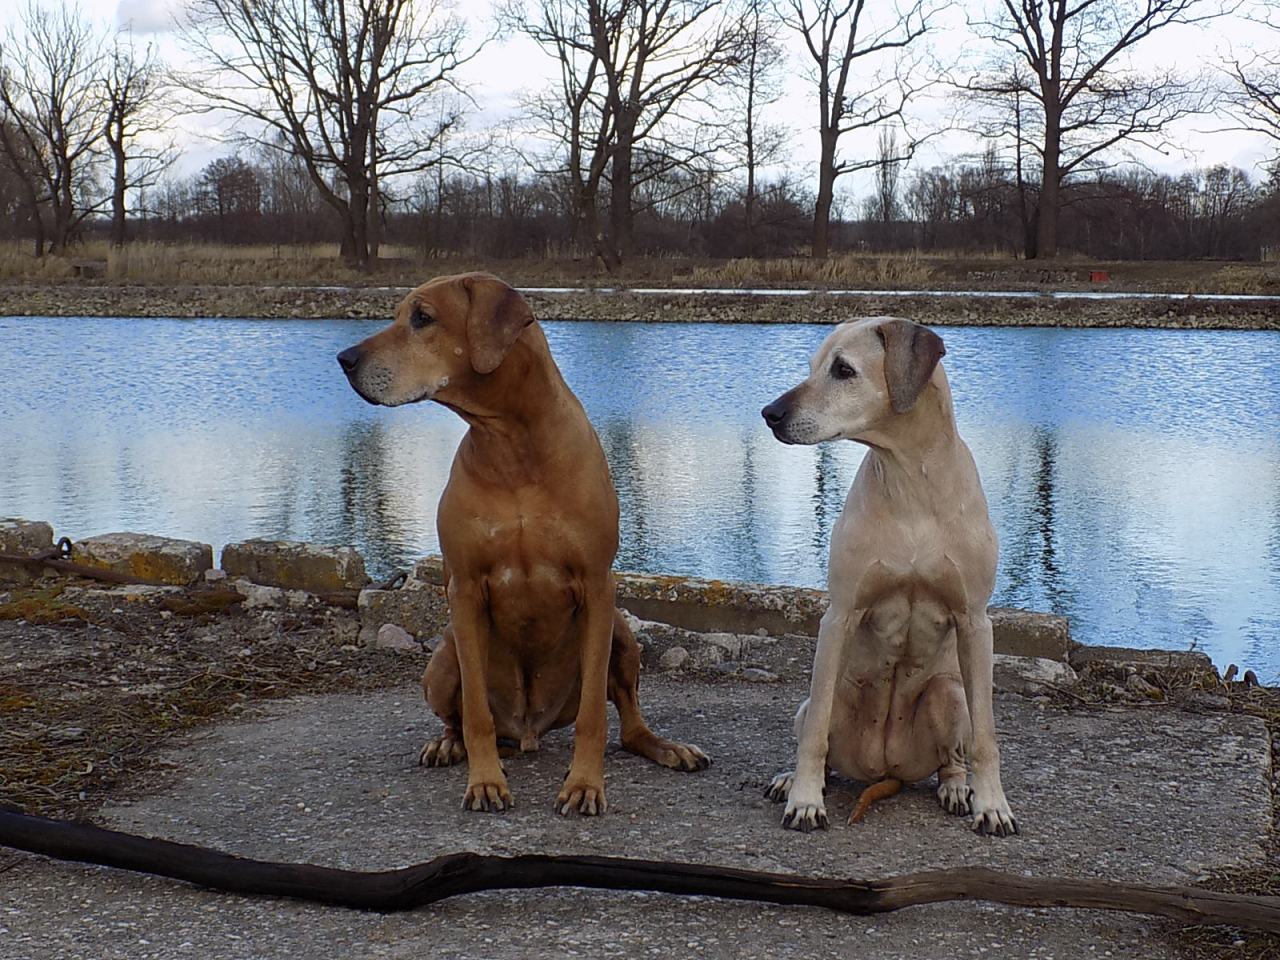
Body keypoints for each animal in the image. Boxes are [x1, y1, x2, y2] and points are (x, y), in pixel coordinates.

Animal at [337, 273, 708, 816]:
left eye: (422, 318)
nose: (344, 358)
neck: (511, 444)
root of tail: (530, 731)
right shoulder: (465, 589)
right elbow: (475, 713)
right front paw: (485, 781)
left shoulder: (597, 586)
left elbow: (595, 715)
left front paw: (584, 785)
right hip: (443, 656)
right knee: (459, 716)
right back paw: (447, 745)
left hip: (622, 633)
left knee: (629, 725)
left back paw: (667, 747)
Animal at [759, 317, 1016, 836]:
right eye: (812, 366)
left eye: (843, 370)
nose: (770, 413)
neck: (910, 482)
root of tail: (885, 769)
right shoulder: (840, 615)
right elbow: (814, 734)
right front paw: (804, 800)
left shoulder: (975, 622)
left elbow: (987, 737)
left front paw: (992, 805)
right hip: (826, 692)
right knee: (815, 727)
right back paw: (791, 779)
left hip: (948, 695)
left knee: (952, 754)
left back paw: (957, 788)